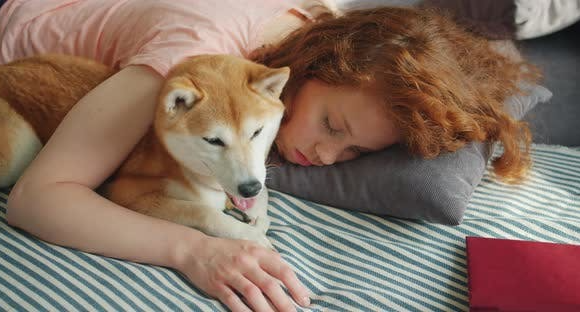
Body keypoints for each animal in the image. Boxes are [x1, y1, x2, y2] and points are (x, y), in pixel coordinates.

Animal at [0, 54, 288, 247]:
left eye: (257, 132)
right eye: (213, 140)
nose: (249, 187)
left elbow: (263, 197)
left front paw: (257, 217)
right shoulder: (124, 193)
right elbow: (202, 211)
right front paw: (251, 236)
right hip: (18, 151)